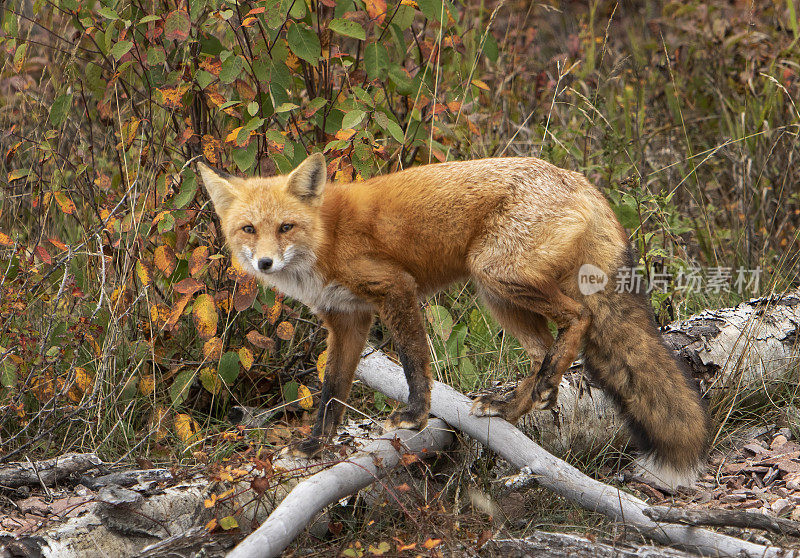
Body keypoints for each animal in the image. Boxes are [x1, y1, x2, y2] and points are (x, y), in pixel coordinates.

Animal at [197, 153, 708, 490]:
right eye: (248, 229)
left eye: (285, 227)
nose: (264, 263)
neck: (325, 237)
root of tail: (583, 180)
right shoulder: (347, 319)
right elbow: (332, 391)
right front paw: (314, 447)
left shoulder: (395, 289)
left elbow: (413, 361)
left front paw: (415, 415)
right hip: (497, 295)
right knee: (544, 351)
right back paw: (514, 405)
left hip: (496, 273)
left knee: (579, 317)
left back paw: (534, 391)